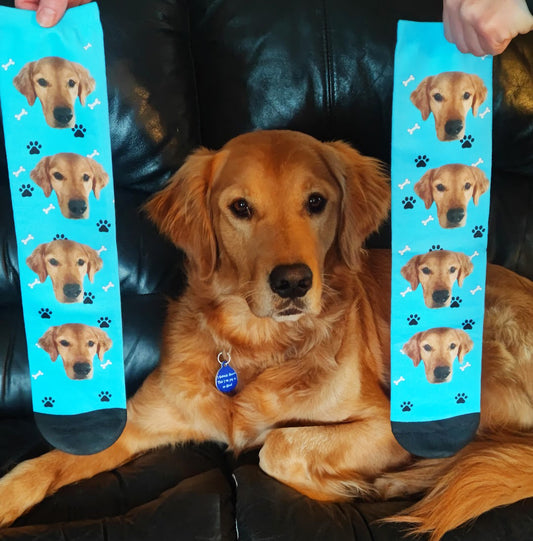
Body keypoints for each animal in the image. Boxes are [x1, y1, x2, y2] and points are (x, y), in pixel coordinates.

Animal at [1, 131, 532, 540]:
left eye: (316, 202)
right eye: (240, 207)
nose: (293, 282)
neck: (256, 344)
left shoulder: (382, 422)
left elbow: (278, 446)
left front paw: (338, 486)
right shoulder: (142, 421)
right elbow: (48, 462)